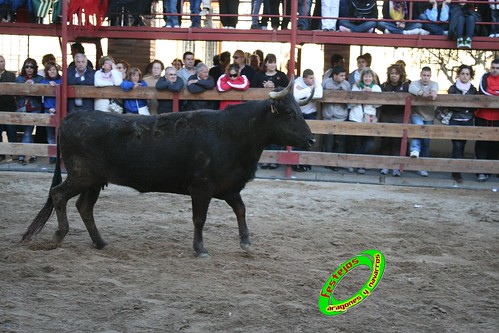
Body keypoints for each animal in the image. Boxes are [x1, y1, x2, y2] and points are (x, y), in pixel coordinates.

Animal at [21, 84, 314, 255]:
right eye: (289, 113)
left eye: (300, 111)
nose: (311, 139)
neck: (233, 132)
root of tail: (70, 118)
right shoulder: (201, 187)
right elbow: (200, 218)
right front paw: (200, 248)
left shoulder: (229, 186)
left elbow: (241, 210)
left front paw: (246, 242)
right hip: (81, 175)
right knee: (59, 195)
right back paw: (59, 235)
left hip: (94, 180)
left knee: (84, 206)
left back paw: (101, 242)